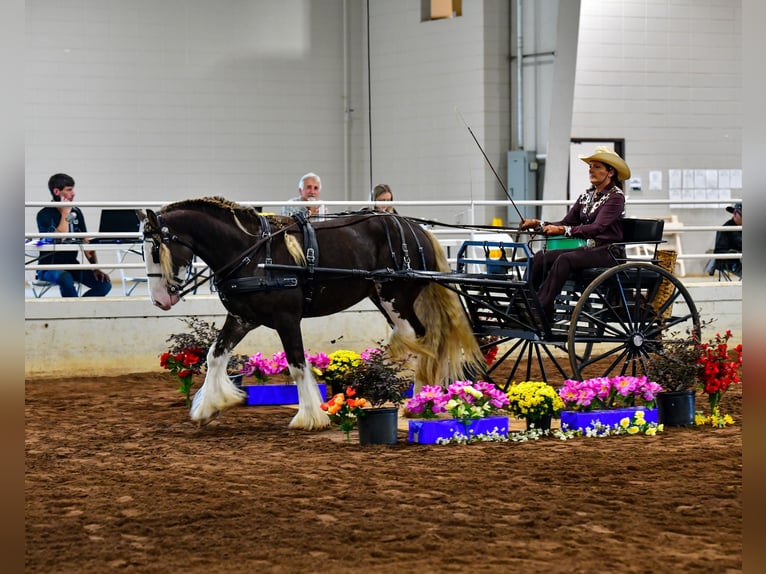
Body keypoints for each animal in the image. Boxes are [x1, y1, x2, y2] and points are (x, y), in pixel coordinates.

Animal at [141, 197, 484, 428]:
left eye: (156, 250)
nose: (158, 300)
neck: (251, 253)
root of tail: (415, 228)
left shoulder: (286, 318)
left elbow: (296, 364)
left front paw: (310, 417)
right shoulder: (243, 318)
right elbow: (215, 355)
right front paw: (210, 406)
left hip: (395, 297)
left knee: (417, 340)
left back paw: (406, 394)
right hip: (384, 298)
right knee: (412, 340)